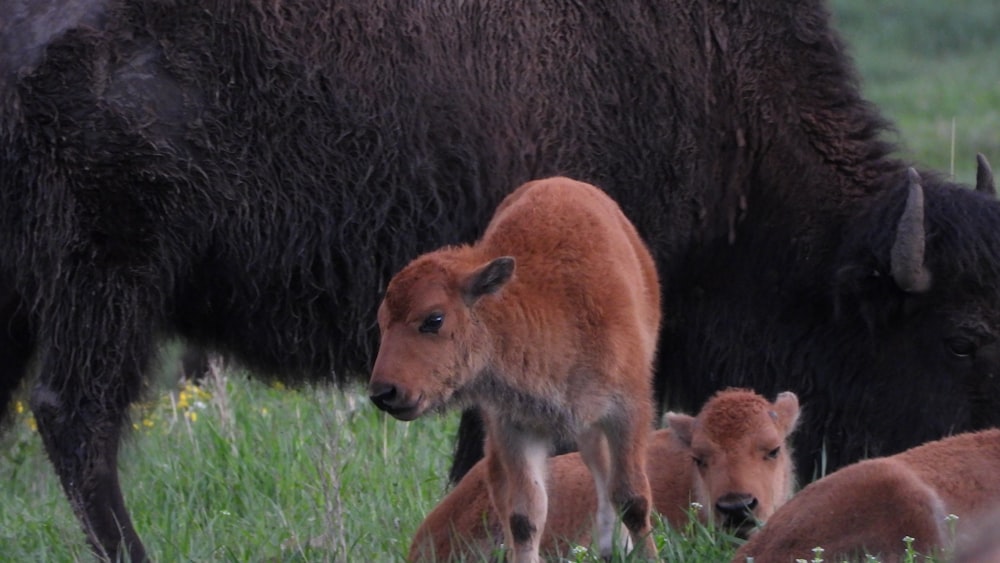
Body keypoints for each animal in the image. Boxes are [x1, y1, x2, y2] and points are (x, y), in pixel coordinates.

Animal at [370, 177, 664, 563]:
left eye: (434, 319)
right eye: (382, 322)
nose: (383, 392)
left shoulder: (627, 412)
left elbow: (633, 498)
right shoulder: (515, 426)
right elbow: (525, 515)